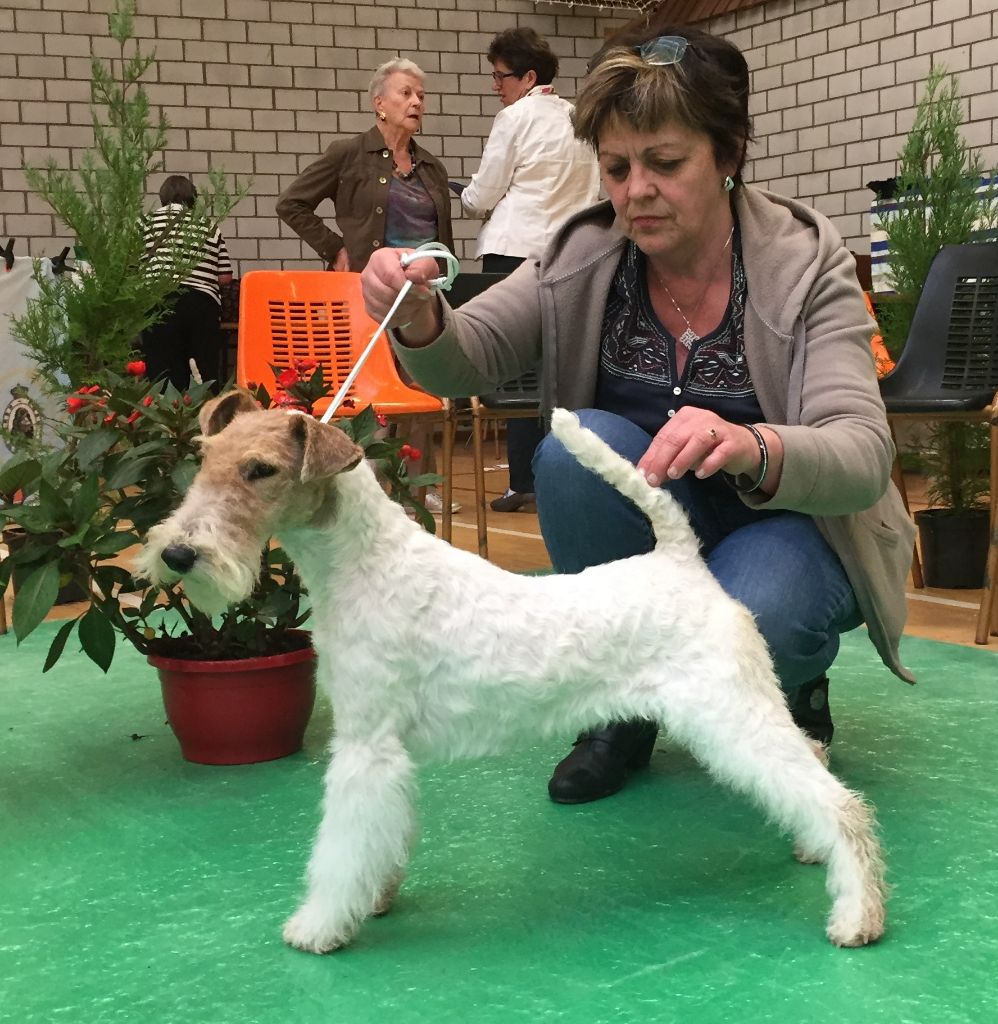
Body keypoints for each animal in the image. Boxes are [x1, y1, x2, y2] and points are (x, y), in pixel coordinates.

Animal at [138, 390, 887, 953]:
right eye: (205, 459)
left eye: (261, 470)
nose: (177, 555)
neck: (366, 565)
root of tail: (682, 562)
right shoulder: (384, 752)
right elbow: (379, 840)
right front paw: (376, 897)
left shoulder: (365, 745)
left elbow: (341, 847)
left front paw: (319, 926)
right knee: (814, 766)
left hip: (731, 714)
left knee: (840, 802)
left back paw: (857, 917)